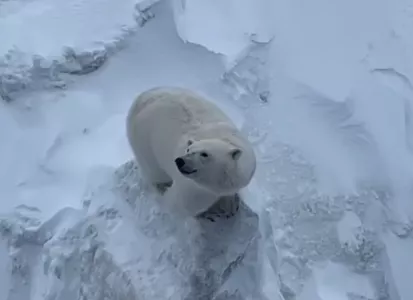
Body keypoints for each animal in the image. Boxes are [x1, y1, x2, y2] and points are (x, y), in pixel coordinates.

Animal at [126, 86, 254, 218]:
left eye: (204, 154)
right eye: (188, 149)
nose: (180, 161)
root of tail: (141, 97)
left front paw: (230, 205)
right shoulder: (194, 189)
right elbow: (180, 204)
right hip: (144, 143)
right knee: (155, 172)